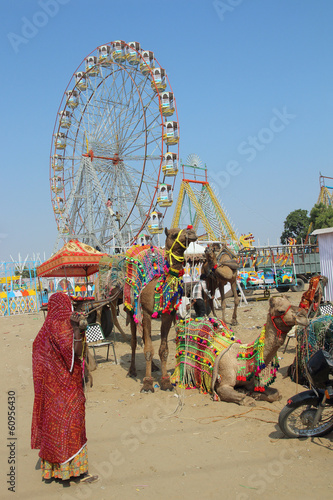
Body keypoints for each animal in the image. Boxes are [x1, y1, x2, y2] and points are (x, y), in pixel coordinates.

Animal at [126, 225, 196, 392]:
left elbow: (163, 350)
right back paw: (132, 370)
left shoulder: (167, 315)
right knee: (134, 341)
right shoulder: (146, 312)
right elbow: (148, 350)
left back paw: (154, 367)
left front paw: (165, 381)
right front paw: (147, 383)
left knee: (146, 339)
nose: (192, 232)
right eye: (173, 234)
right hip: (132, 312)